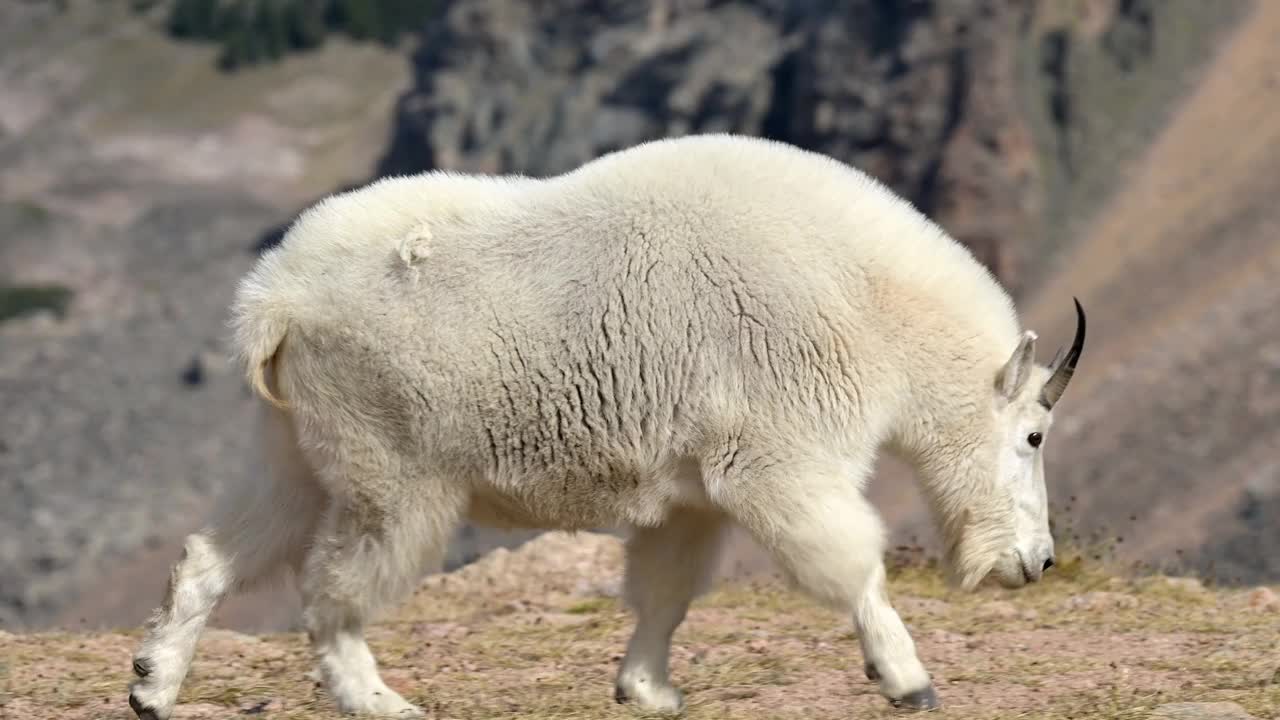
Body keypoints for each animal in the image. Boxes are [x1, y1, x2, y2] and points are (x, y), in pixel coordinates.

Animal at [127, 131, 1090, 712]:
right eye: (1034, 437)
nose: (1038, 562)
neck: (869, 301)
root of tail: (271, 301)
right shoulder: (779, 453)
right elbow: (851, 561)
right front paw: (908, 677)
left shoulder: (695, 486)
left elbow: (667, 585)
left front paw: (646, 688)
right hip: (393, 459)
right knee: (334, 580)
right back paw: (376, 699)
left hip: (292, 437)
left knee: (228, 544)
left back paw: (152, 681)